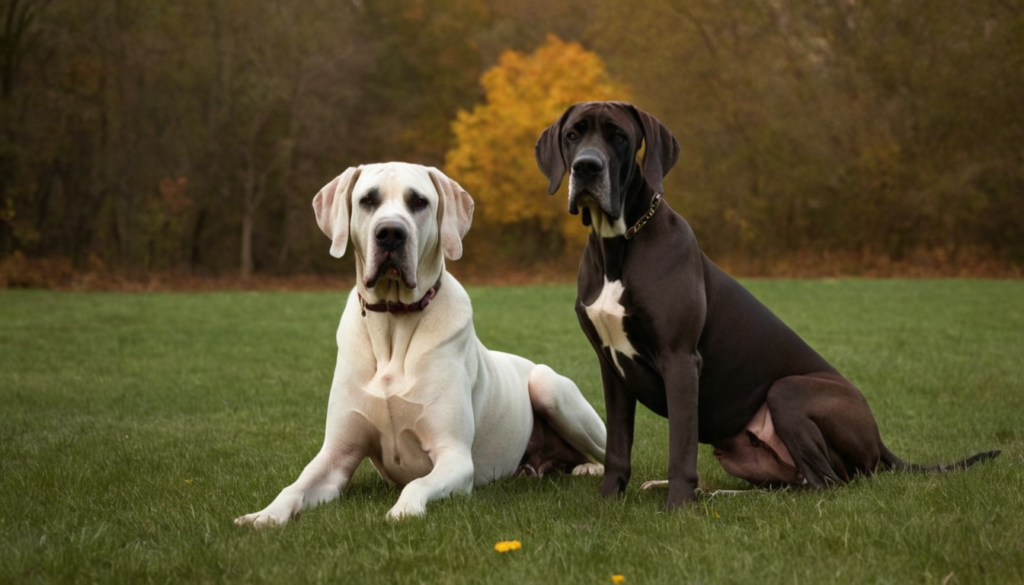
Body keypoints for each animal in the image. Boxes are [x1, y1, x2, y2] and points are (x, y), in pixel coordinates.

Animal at [235, 161, 602, 524]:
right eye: (368, 200)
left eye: (419, 202)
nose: (391, 233)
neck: (393, 320)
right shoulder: (336, 454)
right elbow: (294, 486)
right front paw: (263, 515)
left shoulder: (454, 456)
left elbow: (417, 484)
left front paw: (403, 510)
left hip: (549, 386)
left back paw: (589, 468)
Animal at [536, 100, 999, 508]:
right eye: (574, 134)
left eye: (618, 136)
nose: (587, 167)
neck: (618, 246)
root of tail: (880, 441)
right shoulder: (611, 367)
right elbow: (617, 446)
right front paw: (608, 503)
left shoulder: (680, 359)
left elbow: (680, 446)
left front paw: (677, 506)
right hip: (742, 451)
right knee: (793, 484)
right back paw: (715, 495)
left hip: (788, 392)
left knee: (827, 484)